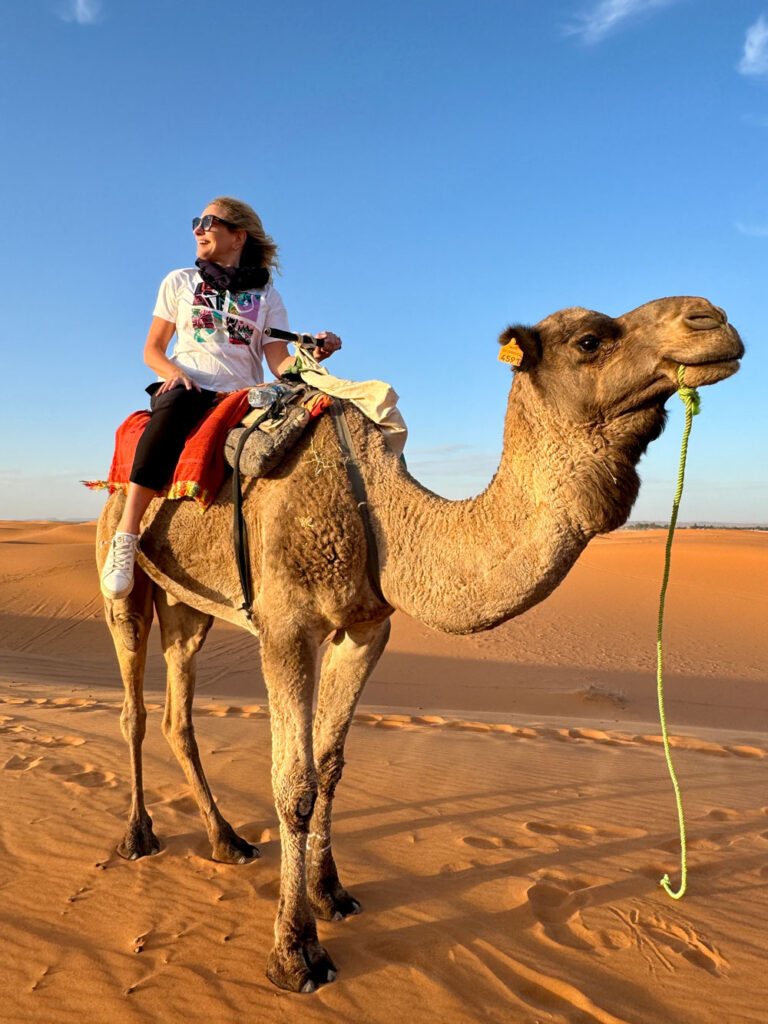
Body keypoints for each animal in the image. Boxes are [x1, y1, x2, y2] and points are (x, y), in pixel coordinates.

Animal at [96, 295, 742, 993]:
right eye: (591, 340)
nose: (712, 318)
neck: (380, 515)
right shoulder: (286, 627)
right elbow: (294, 784)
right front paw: (296, 952)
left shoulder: (366, 628)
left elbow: (330, 764)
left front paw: (332, 894)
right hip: (124, 584)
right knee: (134, 707)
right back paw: (138, 836)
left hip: (188, 606)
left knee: (177, 711)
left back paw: (227, 841)